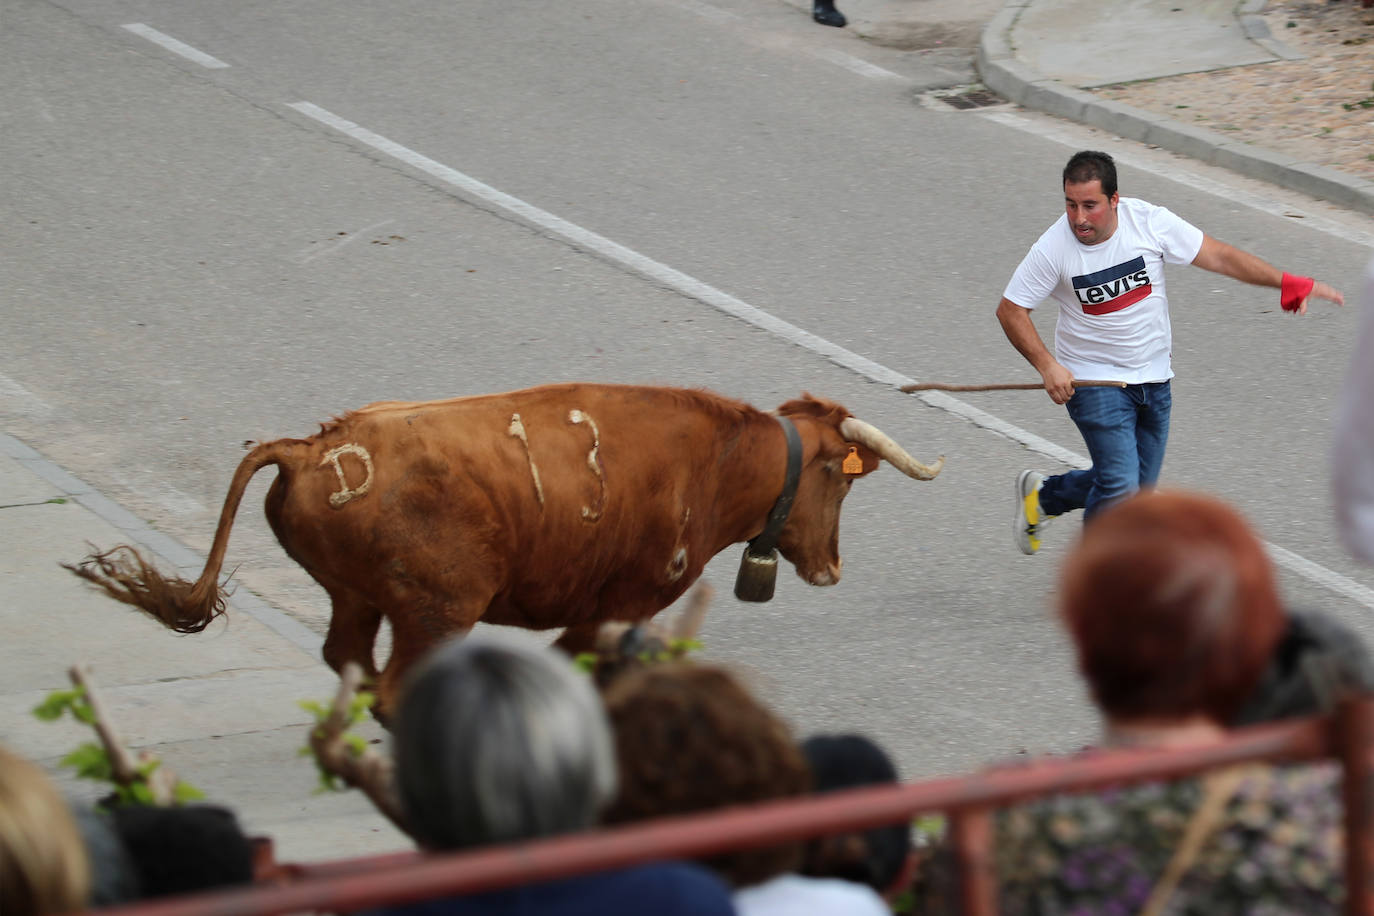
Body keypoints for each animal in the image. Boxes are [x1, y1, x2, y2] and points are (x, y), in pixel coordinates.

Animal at [66, 384, 945, 719]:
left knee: (348, 659)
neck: (721, 459)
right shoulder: (623, 604)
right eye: (843, 482)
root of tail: (317, 445)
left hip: (360, 597)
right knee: (392, 683)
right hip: (436, 611)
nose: (832, 567)